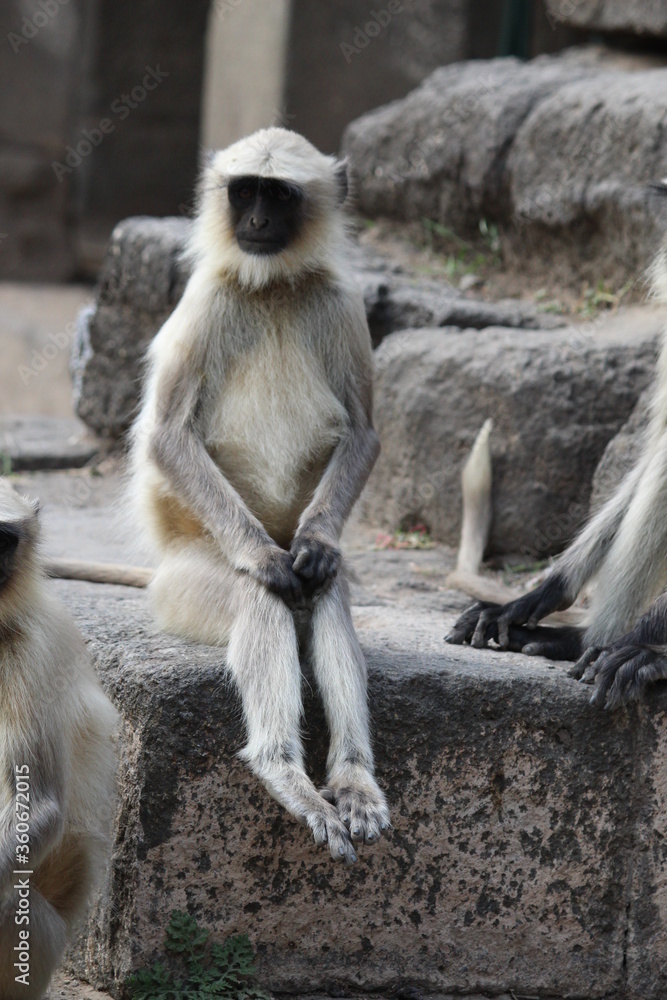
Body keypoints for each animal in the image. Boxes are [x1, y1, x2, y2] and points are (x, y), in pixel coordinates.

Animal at [125, 127, 390, 864]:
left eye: (280, 196)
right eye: (245, 191)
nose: (257, 222)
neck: (271, 287)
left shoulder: (341, 303)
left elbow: (363, 433)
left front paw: (316, 548)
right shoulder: (207, 299)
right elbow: (167, 437)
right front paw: (269, 565)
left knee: (326, 588)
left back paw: (352, 781)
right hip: (181, 588)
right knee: (260, 593)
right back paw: (284, 772)